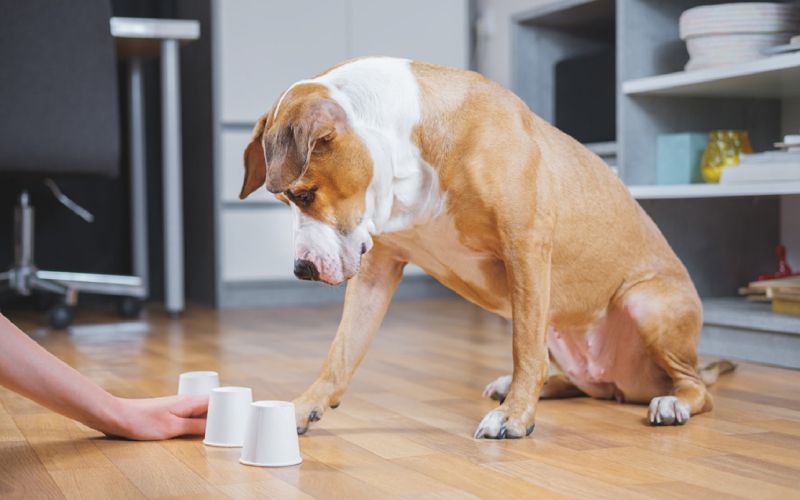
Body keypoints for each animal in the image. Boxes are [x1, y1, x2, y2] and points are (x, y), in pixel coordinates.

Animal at [239, 57, 732, 438]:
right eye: (286, 200)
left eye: (304, 195)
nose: (301, 269)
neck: (407, 148)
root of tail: (627, 384)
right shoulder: (378, 270)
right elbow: (341, 352)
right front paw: (303, 406)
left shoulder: (525, 248)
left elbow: (523, 348)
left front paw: (514, 418)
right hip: (563, 328)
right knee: (580, 380)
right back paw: (533, 386)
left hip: (645, 303)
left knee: (695, 387)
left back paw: (671, 403)